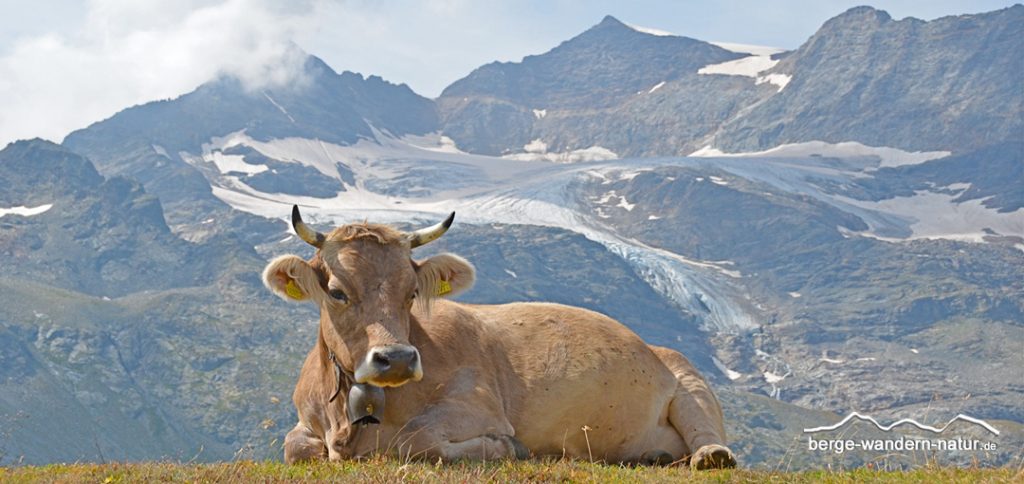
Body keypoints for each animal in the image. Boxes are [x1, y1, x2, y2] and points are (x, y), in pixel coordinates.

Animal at [264, 206, 741, 468]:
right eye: (337, 291)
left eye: (412, 292)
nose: (396, 358)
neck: (347, 424)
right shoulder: (306, 423)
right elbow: (293, 447)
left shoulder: (478, 404)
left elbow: (416, 438)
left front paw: (506, 447)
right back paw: (655, 456)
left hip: (689, 380)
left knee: (705, 431)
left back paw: (709, 457)